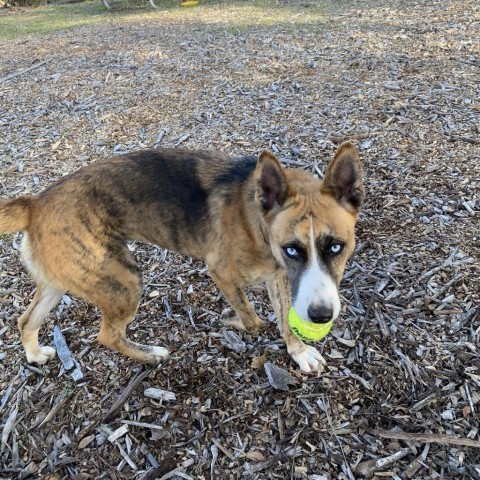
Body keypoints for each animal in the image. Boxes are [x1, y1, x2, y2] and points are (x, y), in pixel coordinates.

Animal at [0, 142, 362, 376]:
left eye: (336, 247)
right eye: (292, 249)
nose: (321, 316)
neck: (257, 220)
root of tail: (36, 203)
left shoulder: (278, 276)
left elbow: (285, 319)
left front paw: (298, 353)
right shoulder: (221, 271)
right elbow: (253, 320)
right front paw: (232, 321)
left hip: (59, 282)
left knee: (25, 320)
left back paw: (34, 354)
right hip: (124, 281)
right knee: (107, 335)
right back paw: (150, 356)